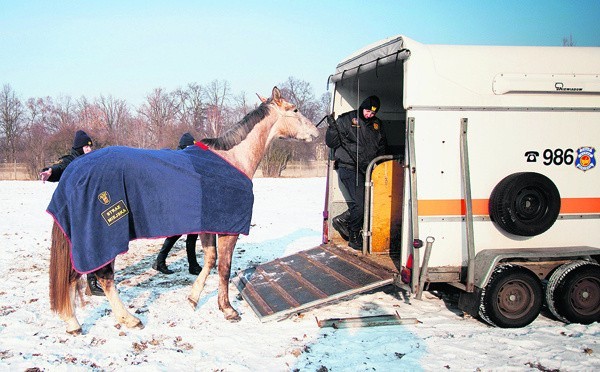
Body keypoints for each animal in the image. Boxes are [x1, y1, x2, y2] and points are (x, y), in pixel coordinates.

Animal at [48, 87, 318, 334]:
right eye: (295, 109)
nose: (316, 131)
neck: (232, 160)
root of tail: (75, 170)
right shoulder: (229, 230)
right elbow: (224, 267)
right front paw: (227, 309)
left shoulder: (208, 225)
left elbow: (209, 261)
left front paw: (193, 298)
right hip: (104, 239)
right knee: (104, 278)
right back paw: (128, 319)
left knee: (71, 277)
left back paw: (72, 322)